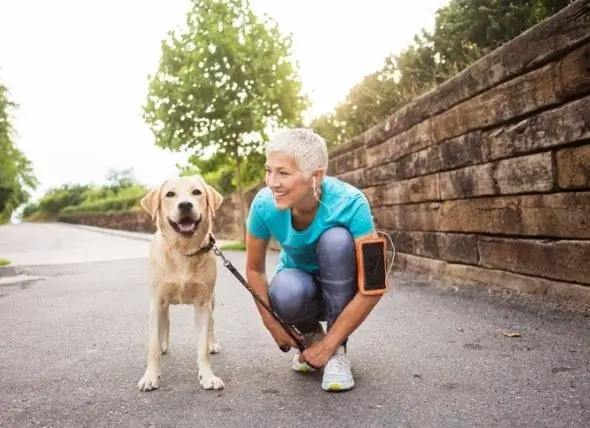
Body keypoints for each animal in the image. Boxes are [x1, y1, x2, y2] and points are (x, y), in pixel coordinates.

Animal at [136, 174, 227, 392]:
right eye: (170, 194)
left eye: (196, 192)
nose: (185, 205)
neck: (184, 251)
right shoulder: (157, 301)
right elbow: (152, 347)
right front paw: (150, 377)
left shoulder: (202, 303)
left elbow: (202, 348)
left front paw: (207, 376)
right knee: (165, 323)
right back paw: (163, 345)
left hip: (211, 299)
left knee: (212, 323)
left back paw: (212, 343)